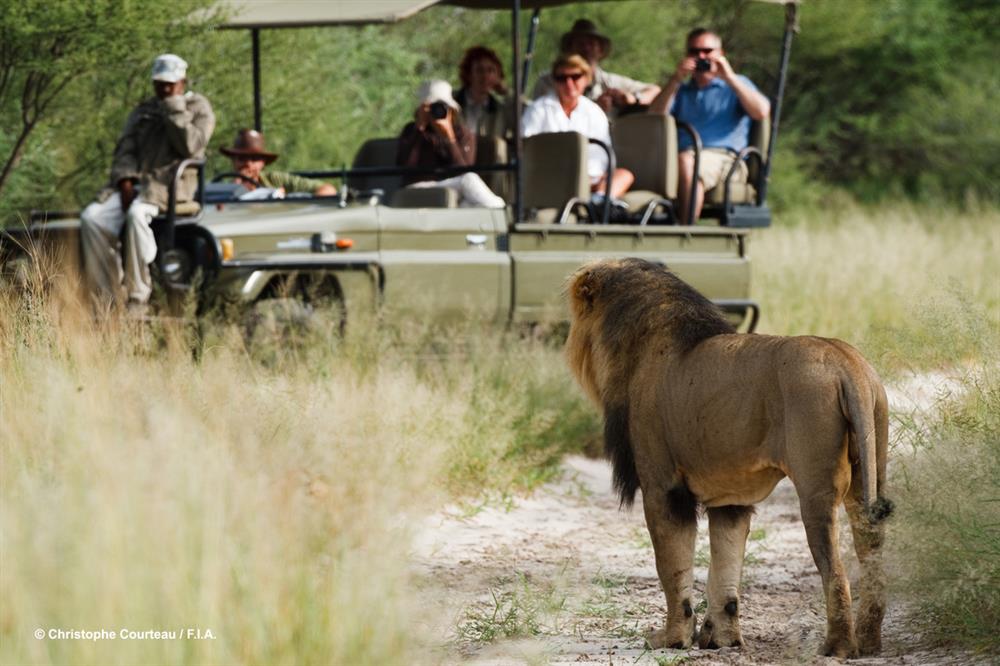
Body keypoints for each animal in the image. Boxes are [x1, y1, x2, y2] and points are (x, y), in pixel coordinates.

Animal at [568, 256, 896, 656]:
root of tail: (846, 364)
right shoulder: (731, 498)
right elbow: (725, 568)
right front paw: (721, 638)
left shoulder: (662, 488)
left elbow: (672, 567)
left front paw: (673, 639)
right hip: (869, 473)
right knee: (873, 554)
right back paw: (869, 641)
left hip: (816, 488)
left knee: (835, 569)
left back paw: (837, 647)